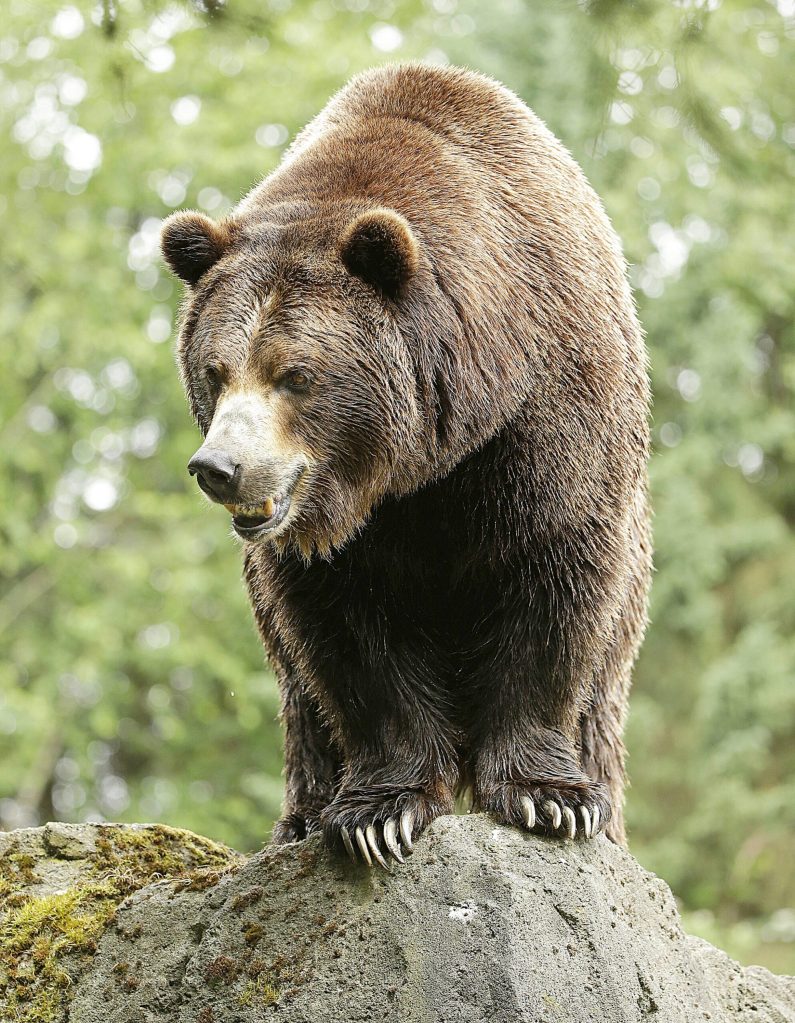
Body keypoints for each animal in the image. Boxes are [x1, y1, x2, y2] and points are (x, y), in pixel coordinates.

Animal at [160, 62, 652, 868]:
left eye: (294, 374)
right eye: (215, 369)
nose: (220, 467)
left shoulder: (547, 419)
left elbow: (554, 584)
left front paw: (549, 798)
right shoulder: (339, 539)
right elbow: (352, 638)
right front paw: (377, 812)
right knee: (302, 699)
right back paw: (301, 817)